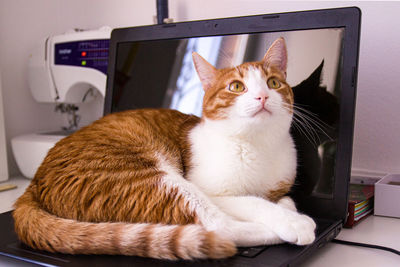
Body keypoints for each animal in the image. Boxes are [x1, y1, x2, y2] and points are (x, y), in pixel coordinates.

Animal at [13, 37, 316, 262]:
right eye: (236, 86)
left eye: (273, 83)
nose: (262, 96)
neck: (257, 144)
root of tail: (34, 182)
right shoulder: (214, 191)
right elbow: (255, 203)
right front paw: (292, 220)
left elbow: (278, 196)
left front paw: (287, 204)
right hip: (152, 179)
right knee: (220, 227)